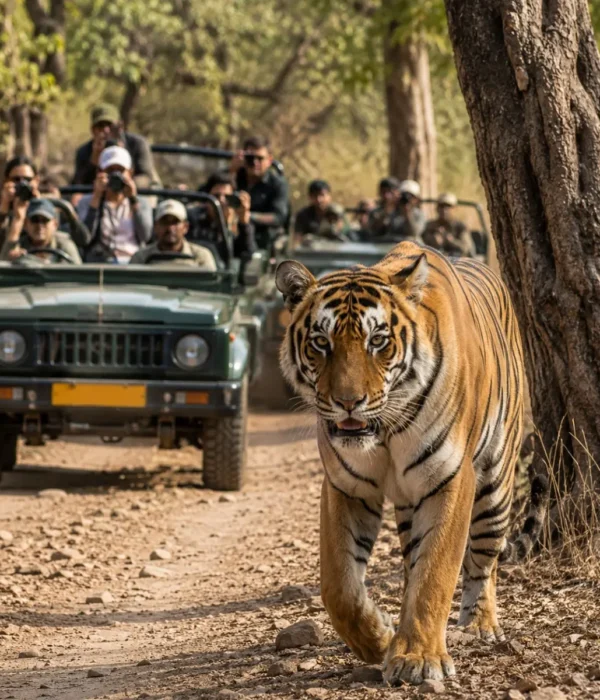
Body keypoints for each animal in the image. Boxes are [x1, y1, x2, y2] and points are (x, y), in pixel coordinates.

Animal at [275, 241, 548, 686]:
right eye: (320, 342)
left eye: (378, 340)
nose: (348, 402)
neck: (384, 431)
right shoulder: (346, 485)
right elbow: (339, 586)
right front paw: (379, 640)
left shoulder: (450, 479)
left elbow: (435, 572)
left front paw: (418, 657)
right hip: (408, 503)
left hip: (495, 483)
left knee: (484, 561)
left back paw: (480, 626)